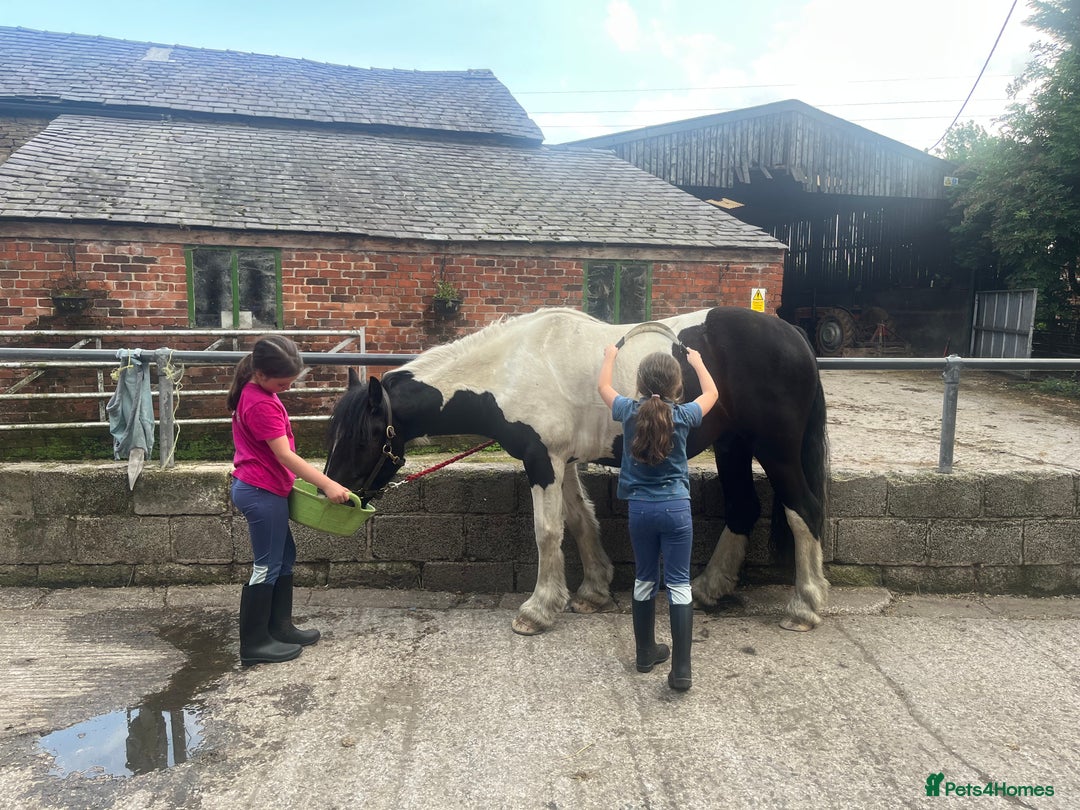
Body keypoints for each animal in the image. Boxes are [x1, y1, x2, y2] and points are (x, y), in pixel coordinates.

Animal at [324, 306, 830, 635]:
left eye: (362, 438)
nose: (339, 495)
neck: (512, 368)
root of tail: (794, 335)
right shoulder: (560, 461)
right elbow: (580, 521)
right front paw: (592, 591)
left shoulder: (541, 460)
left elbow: (548, 531)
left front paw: (538, 609)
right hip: (733, 446)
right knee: (744, 508)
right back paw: (708, 588)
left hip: (775, 451)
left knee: (804, 510)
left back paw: (804, 607)